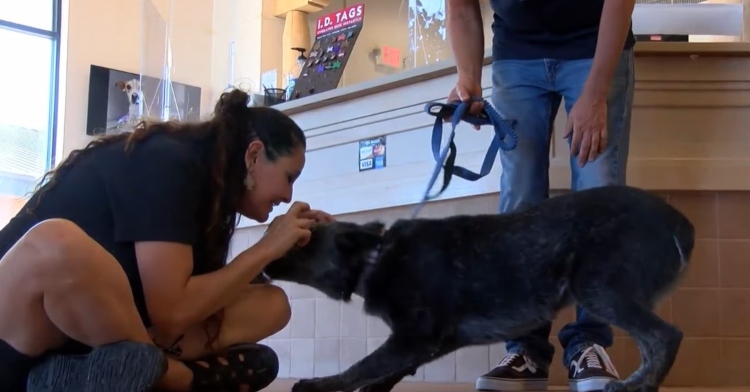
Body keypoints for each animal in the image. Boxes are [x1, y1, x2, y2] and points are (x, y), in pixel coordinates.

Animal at [266, 185, 700, 392]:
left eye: (303, 240)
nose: (265, 258)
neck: (377, 256)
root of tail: (679, 222)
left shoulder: (413, 337)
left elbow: (361, 366)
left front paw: (321, 385)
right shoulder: (433, 341)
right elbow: (389, 370)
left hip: (596, 288)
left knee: (666, 336)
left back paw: (641, 386)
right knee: (654, 341)